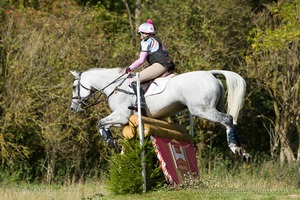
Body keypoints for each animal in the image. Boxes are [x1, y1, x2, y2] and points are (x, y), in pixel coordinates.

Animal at [69, 68, 251, 162]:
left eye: (74, 87)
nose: (73, 109)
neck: (115, 87)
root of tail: (210, 73)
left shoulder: (121, 116)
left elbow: (100, 122)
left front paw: (110, 141)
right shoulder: (123, 121)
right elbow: (105, 125)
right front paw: (113, 143)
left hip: (202, 109)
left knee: (227, 120)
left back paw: (235, 148)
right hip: (214, 107)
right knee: (232, 121)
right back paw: (244, 153)